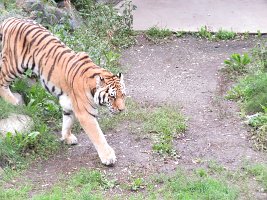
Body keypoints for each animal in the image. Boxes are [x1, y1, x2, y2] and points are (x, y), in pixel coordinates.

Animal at [0, 17, 126, 166]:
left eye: (123, 96)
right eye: (112, 97)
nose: (122, 110)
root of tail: (10, 19)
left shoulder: (68, 104)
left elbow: (67, 122)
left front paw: (67, 138)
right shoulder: (86, 114)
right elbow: (98, 136)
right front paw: (108, 157)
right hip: (14, 65)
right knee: (2, 79)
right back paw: (12, 101)